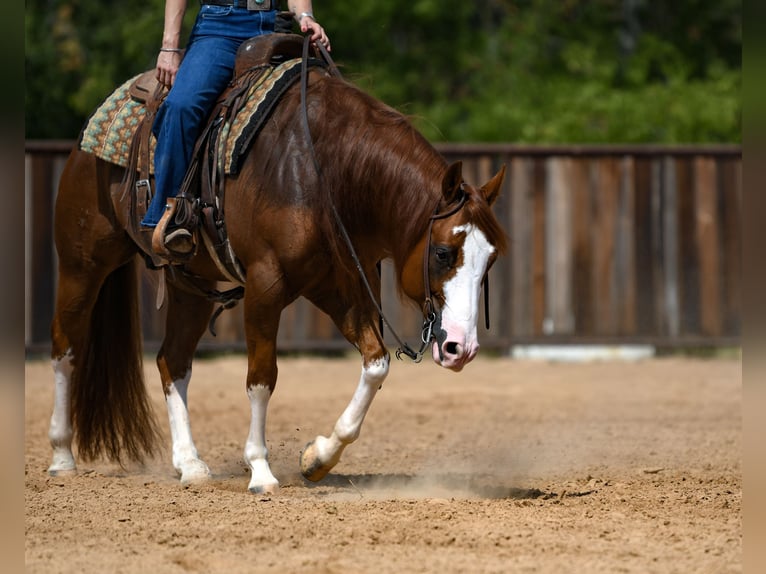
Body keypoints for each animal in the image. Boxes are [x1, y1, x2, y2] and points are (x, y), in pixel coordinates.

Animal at [46, 46, 508, 494]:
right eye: (443, 253)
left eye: (491, 258)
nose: (461, 348)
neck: (325, 170)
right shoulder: (265, 286)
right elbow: (261, 377)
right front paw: (261, 471)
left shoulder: (340, 288)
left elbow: (376, 365)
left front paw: (318, 458)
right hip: (82, 265)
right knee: (66, 348)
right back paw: (62, 457)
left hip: (191, 286)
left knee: (171, 361)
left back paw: (190, 464)